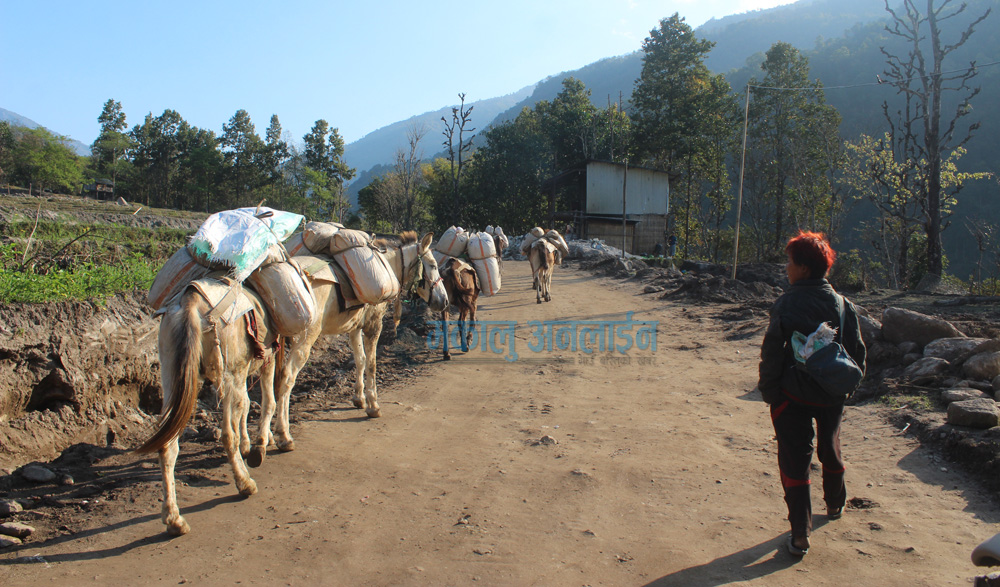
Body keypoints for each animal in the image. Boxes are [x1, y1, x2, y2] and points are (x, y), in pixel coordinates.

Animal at [135, 279, 278, 536]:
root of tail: (191, 302)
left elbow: (246, 406)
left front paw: (250, 444)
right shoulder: (265, 359)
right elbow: (265, 402)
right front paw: (259, 445)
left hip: (171, 376)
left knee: (167, 446)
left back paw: (174, 520)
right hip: (229, 372)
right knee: (227, 435)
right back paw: (245, 483)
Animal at [267, 231, 448, 455]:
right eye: (432, 265)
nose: (445, 301)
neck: (387, 264)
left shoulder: (354, 327)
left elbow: (360, 360)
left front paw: (359, 398)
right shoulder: (373, 325)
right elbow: (371, 363)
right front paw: (373, 404)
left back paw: (264, 438)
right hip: (304, 340)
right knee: (286, 378)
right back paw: (283, 436)